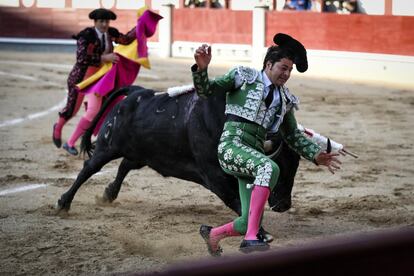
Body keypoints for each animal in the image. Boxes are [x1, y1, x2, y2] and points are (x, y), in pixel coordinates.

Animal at [56, 85, 300, 216]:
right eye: (281, 167)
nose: (284, 205)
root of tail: (137, 91)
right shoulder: (216, 177)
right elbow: (237, 201)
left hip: (143, 153)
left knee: (125, 165)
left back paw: (109, 194)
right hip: (108, 146)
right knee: (89, 168)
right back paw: (63, 203)